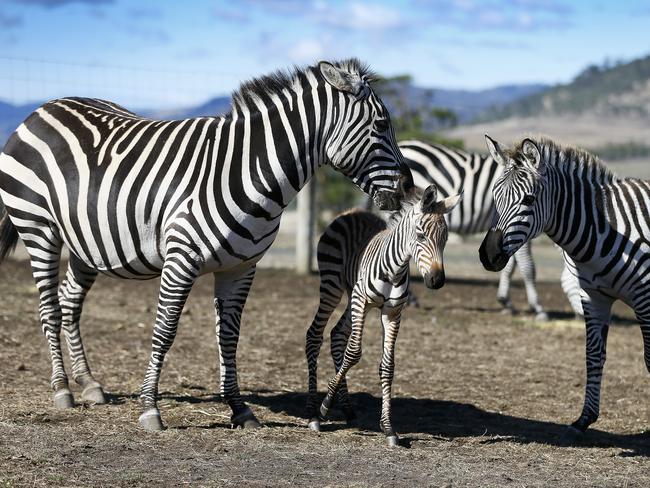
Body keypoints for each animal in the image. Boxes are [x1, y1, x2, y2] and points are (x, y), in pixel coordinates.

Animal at [306, 183, 458, 446]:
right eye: (420, 235)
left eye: (445, 239)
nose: (437, 281)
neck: (395, 270)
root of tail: (352, 211)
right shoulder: (361, 300)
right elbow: (354, 353)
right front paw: (325, 407)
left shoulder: (393, 313)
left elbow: (388, 365)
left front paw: (388, 428)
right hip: (333, 286)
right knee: (315, 335)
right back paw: (315, 413)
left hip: (351, 294)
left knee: (337, 334)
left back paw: (347, 408)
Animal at [476, 135, 648, 440]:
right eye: (495, 196)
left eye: (529, 199)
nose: (488, 254)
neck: (605, 227)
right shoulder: (593, 297)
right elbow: (593, 355)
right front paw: (584, 418)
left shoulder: (644, 297)